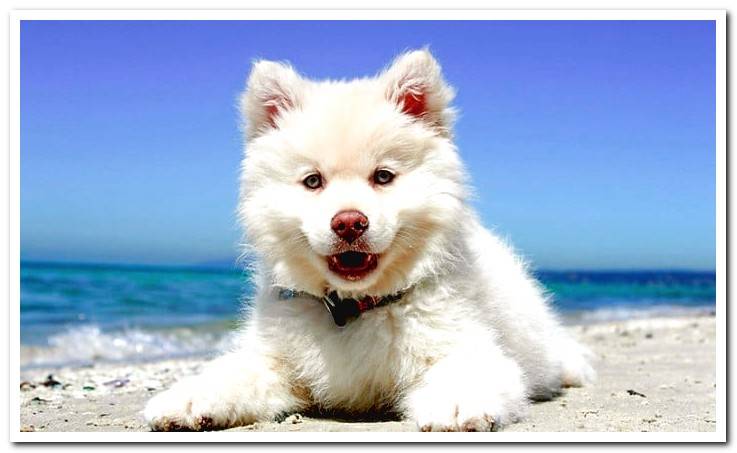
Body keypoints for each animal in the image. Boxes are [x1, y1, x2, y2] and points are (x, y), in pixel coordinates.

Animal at [142, 48, 592, 430]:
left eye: (383, 176)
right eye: (313, 181)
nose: (349, 223)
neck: (353, 309)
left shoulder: (464, 342)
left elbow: (467, 369)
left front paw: (456, 404)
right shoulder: (275, 360)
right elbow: (233, 371)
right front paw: (187, 399)